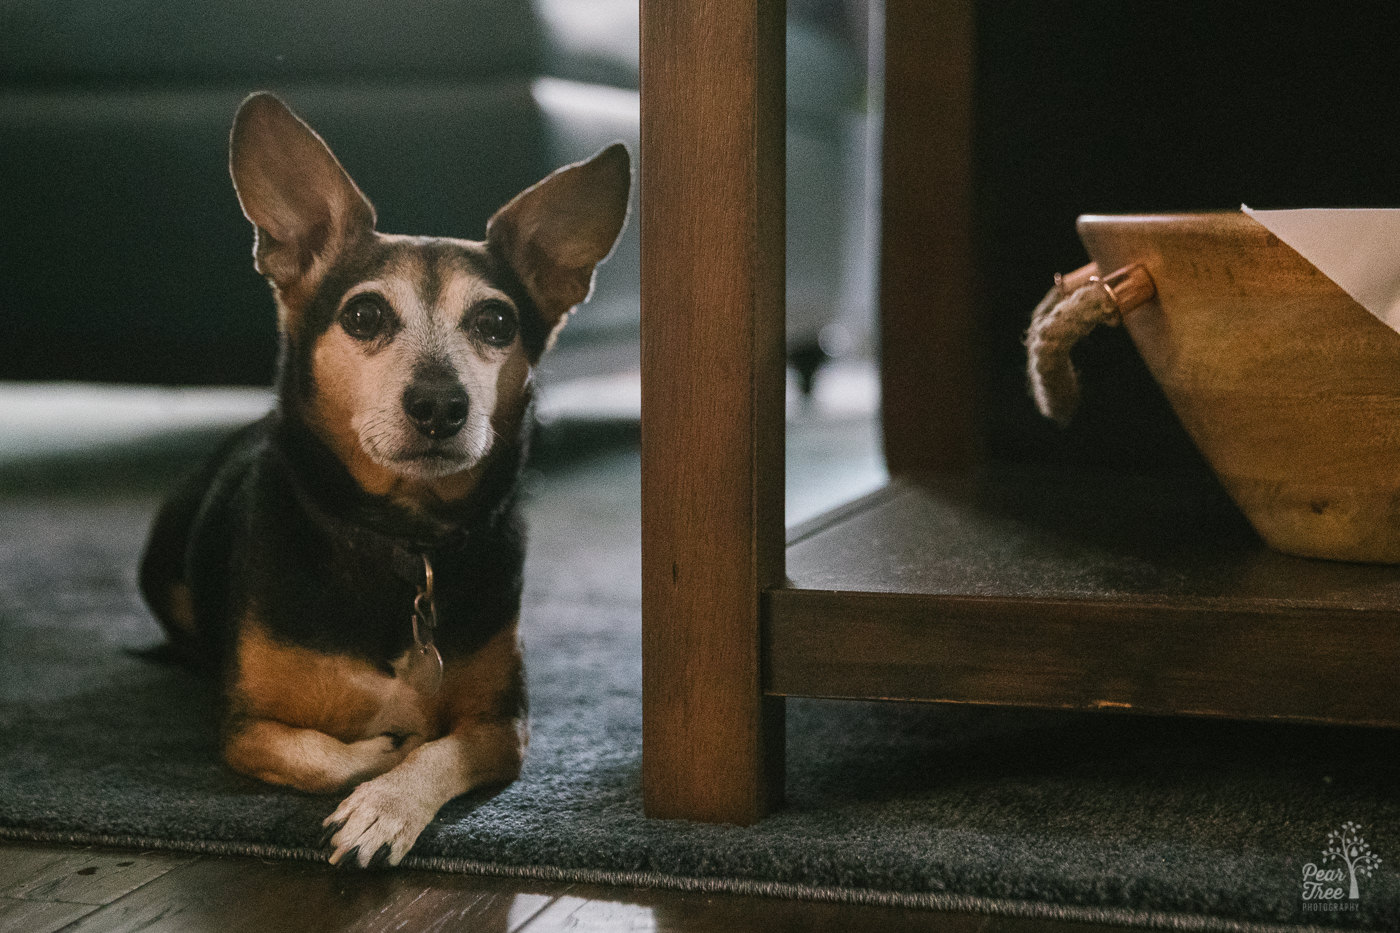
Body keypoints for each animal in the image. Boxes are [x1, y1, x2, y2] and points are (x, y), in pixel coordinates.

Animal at [136, 92, 630, 862]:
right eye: (364, 314)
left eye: (496, 322)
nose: (440, 405)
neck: (402, 535)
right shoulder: (247, 726)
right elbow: (331, 752)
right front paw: (380, 762)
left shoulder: (505, 725)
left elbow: (441, 750)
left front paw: (388, 804)